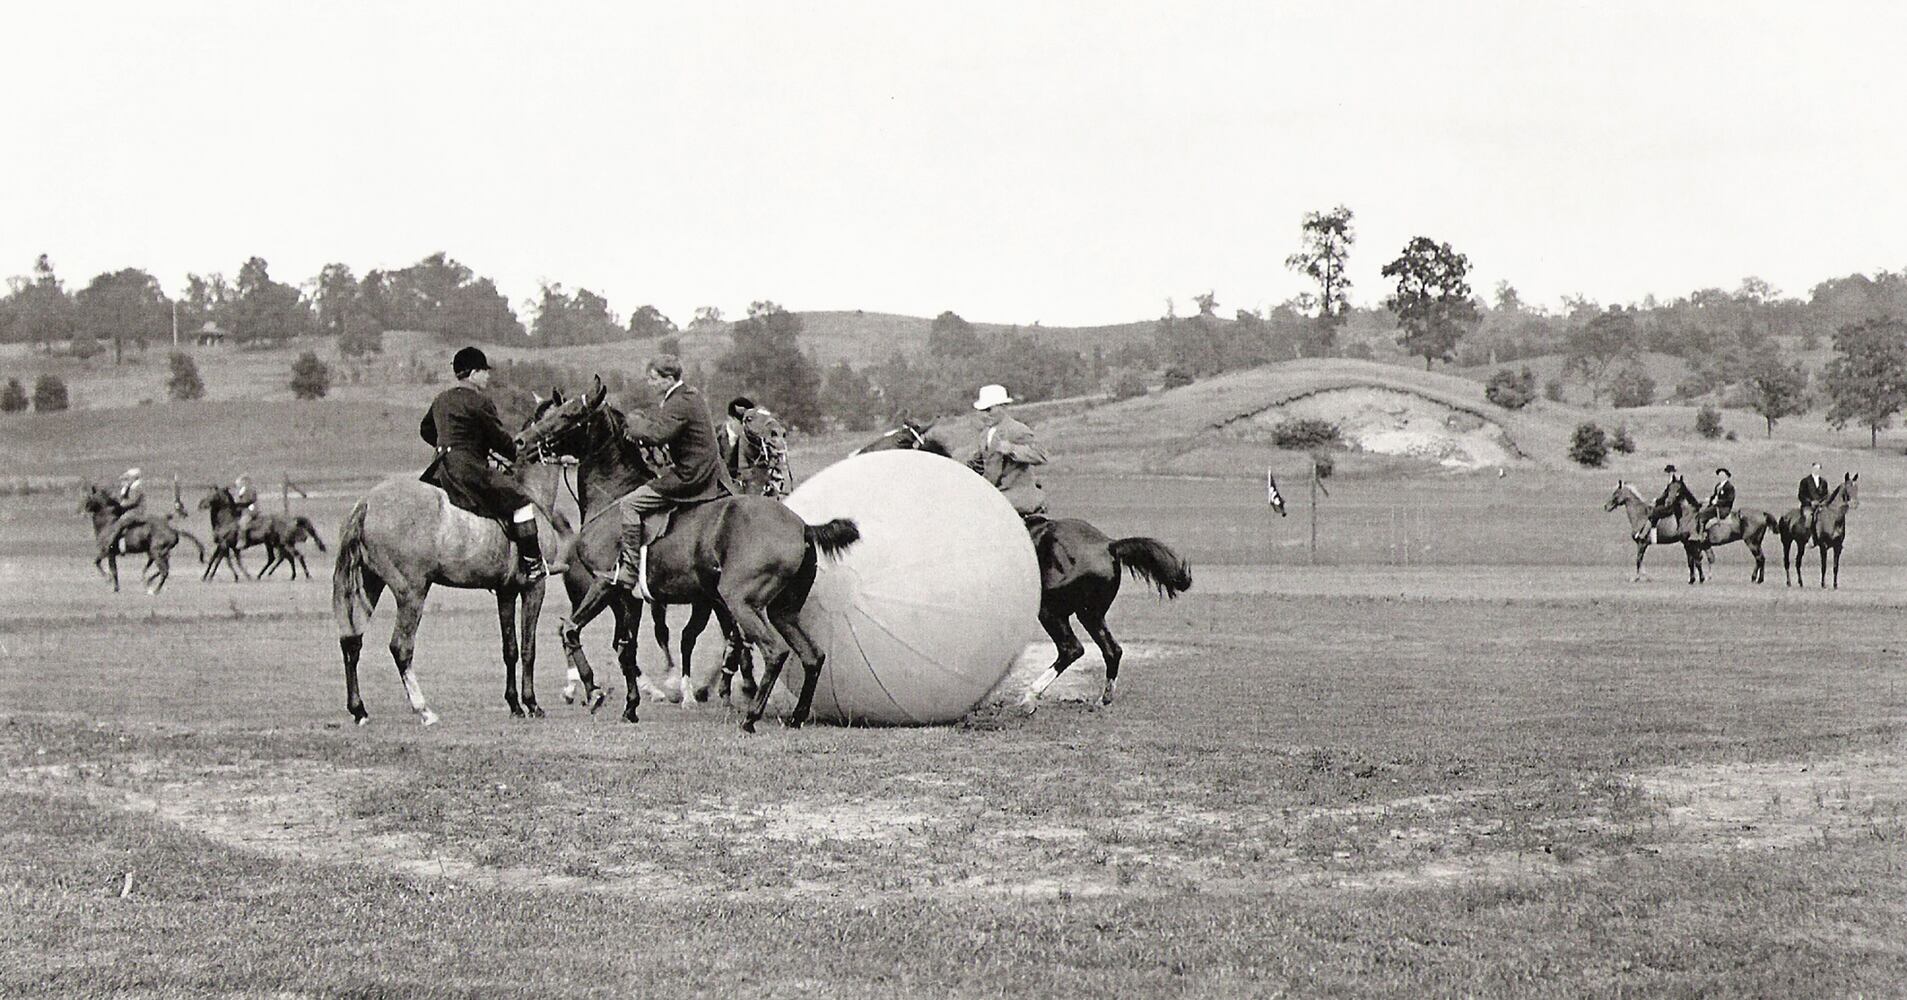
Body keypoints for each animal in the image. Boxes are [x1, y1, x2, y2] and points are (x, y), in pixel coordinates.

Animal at [329, 452, 564, 725]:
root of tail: (366, 503)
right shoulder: (535, 587)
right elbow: (528, 648)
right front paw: (532, 704)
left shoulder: (506, 592)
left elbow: (510, 649)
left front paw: (515, 705)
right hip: (412, 593)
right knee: (400, 647)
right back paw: (423, 710)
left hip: (369, 583)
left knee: (352, 642)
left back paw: (359, 710)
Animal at [511, 379, 861, 729]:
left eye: (569, 415)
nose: (520, 441)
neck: (614, 497)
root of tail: (802, 526)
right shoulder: (629, 598)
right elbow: (627, 649)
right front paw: (631, 706)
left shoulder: (605, 584)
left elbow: (571, 630)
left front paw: (596, 691)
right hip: (781, 610)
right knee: (812, 655)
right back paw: (795, 716)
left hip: (742, 602)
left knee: (774, 651)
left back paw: (750, 716)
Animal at [854, 419, 1189, 709]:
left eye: (901, 440)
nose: (858, 456)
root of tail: (1109, 544)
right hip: (1090, 613)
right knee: (1112, 649)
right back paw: (1103, 698)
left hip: (1051, 610)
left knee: (1072, 649)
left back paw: (1029, 697)